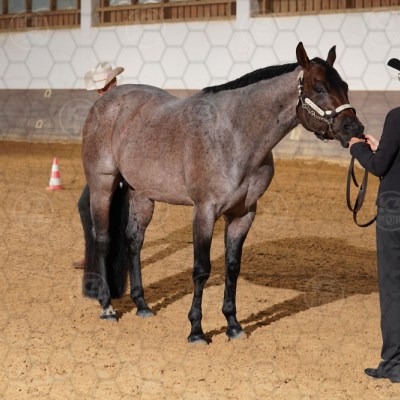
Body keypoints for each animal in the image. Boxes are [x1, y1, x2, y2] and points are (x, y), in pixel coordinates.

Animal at [81, 42, 364, 344]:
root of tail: (107, 101)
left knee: (134, 242)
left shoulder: (243, 214)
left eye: (345, 86)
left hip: (142, 195)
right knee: (103, 241)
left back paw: (142, 305)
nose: (354, 128)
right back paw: (107, 306)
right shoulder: (205, 211)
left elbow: (232, 267)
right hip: (102, 185)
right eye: (319, 88)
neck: (235, 134)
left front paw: (233, 324)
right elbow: (201, 269)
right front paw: (196, 330)